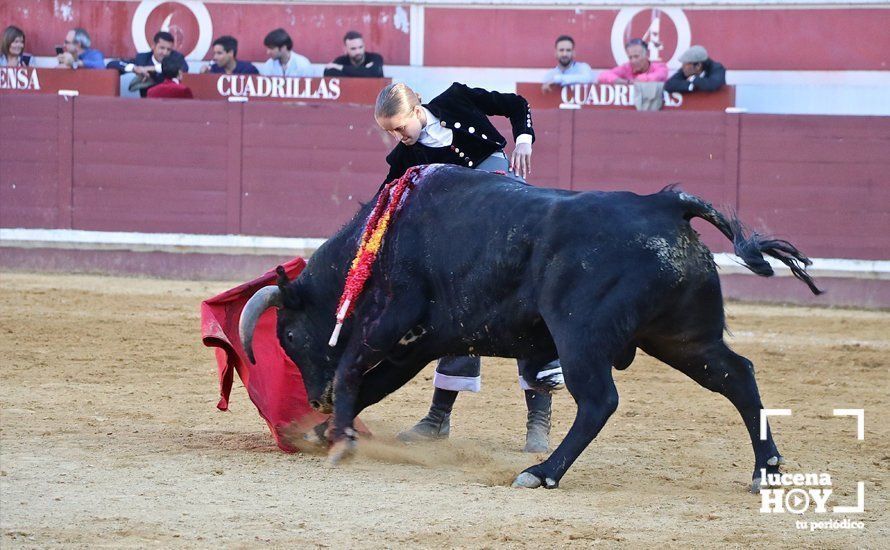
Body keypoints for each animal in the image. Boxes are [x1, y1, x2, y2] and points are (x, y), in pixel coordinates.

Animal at [238, 165, 820, 492]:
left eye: (289, 336)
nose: (315, 398)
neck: (383, 237)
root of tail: (663, 203)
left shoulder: (392, 322)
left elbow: (354, 367)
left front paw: (337, 437)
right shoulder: (419, 344)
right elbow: (374, 382)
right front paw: (327, 430)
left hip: (581, 337)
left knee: (599, 401)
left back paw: (542, 472)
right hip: (682, 338)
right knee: (737, 376)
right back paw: (766, 470)